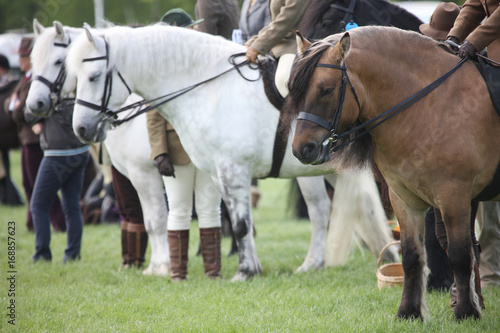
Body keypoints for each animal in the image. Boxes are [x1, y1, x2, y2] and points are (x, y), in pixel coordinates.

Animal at [25, 20, 170, 274]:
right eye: (34, 60)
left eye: (59, 62)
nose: (35, 104)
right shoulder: (131, 177)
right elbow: (144, 219)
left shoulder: (145, 174)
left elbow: (157, 219)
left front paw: (161, 266)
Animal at [64, 24, 396, 280]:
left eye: (93, 76)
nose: (80, 129)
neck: (209, 91)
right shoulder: (218, 174)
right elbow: (236, 222)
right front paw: (251, 267)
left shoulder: (232, 170)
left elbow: (239, 223)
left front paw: (245, 271)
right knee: (348, 209)